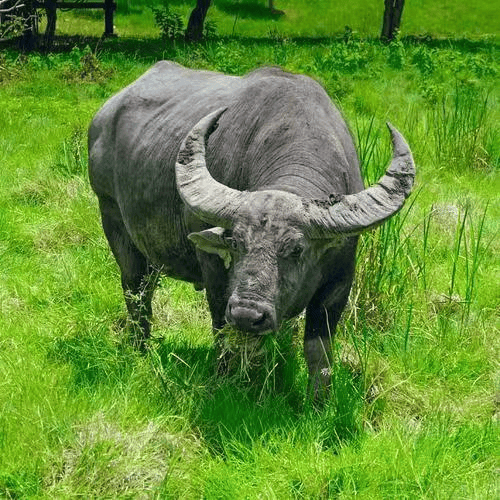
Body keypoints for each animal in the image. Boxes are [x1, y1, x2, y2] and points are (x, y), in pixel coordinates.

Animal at [89, 62, 414, 398]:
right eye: (235, 243)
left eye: (297, 250)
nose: (248, 314)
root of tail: (104, 116)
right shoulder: (215, 273)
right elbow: (222, 331)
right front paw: (225, 380)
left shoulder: (340, 280)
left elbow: (318, 352)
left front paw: (319, 402)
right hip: (112, 217)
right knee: (136, 292)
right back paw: (140, 349)